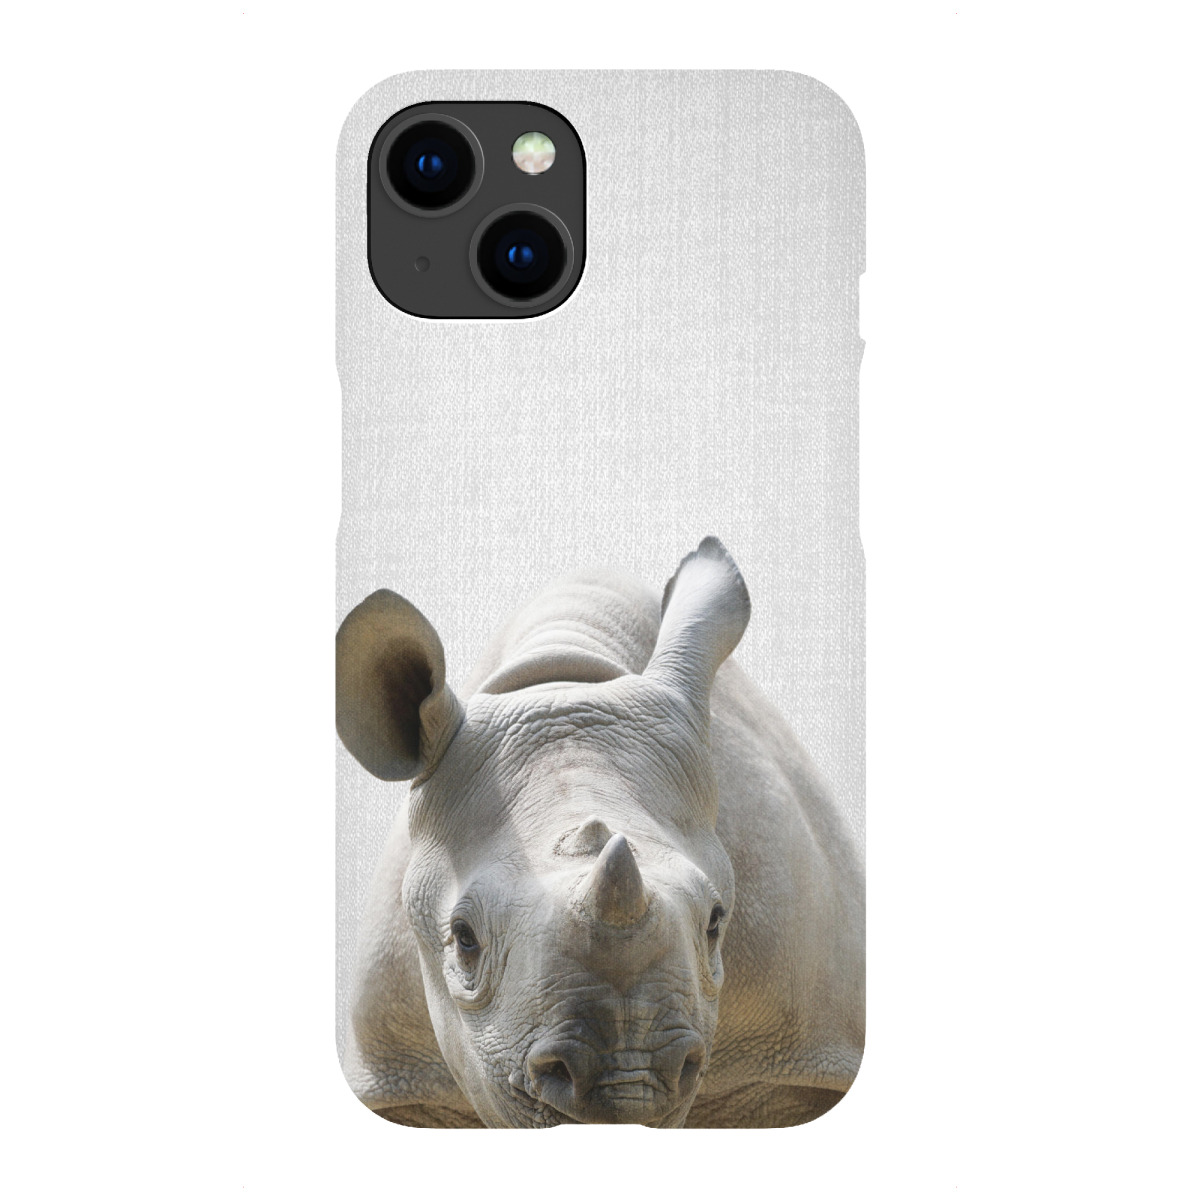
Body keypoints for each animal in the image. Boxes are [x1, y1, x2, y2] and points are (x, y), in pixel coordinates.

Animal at [336, 537, 864, 1128]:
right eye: (464, 938)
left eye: (715, 922)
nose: (629, 1079)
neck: (562, 678)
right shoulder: (402, 1080)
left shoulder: (800, 1062)